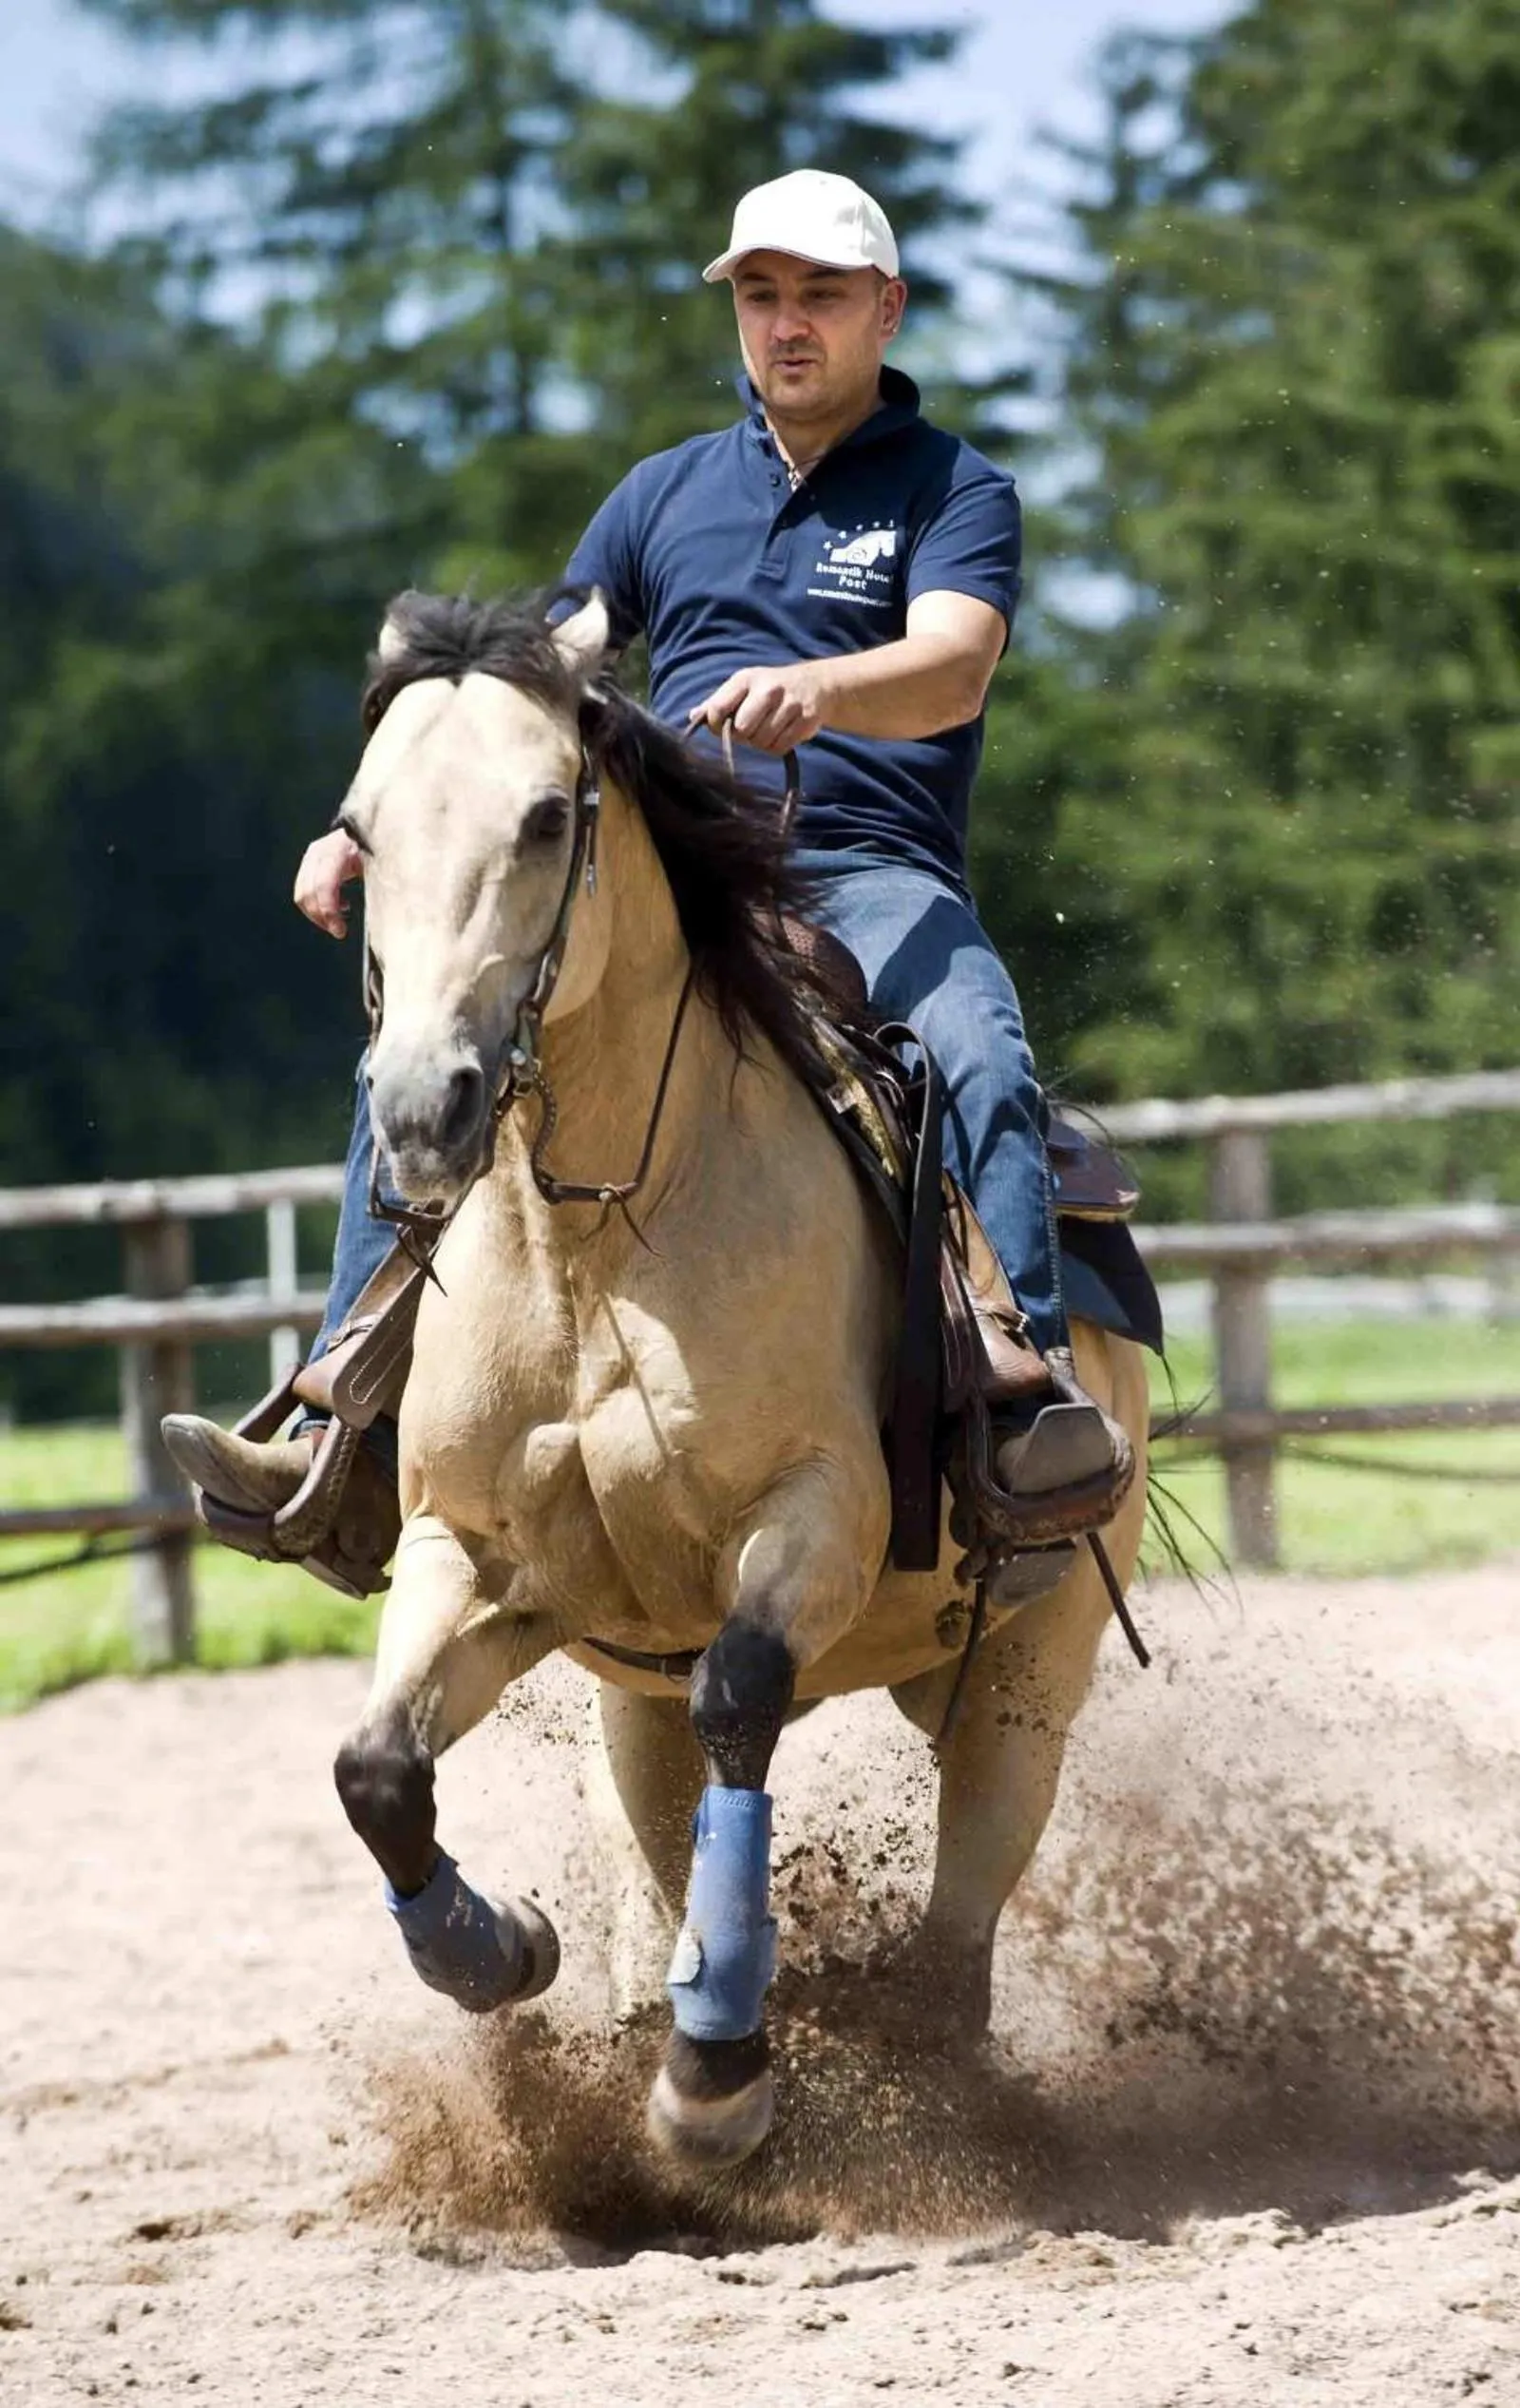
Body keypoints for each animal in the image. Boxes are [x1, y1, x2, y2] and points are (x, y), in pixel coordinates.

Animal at [327, 587, 1151, 2171]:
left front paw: (717, 2070)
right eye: (361, 828)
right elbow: (376, 1767)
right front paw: (496, 1947)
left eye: (547, 815)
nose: (419, 1108)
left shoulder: (818, 1513)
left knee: (958, 1923)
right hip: (623, 1700)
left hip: (1031, 1671)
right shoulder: (471, 1547)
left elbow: (743, 1699)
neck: (601, 1237)